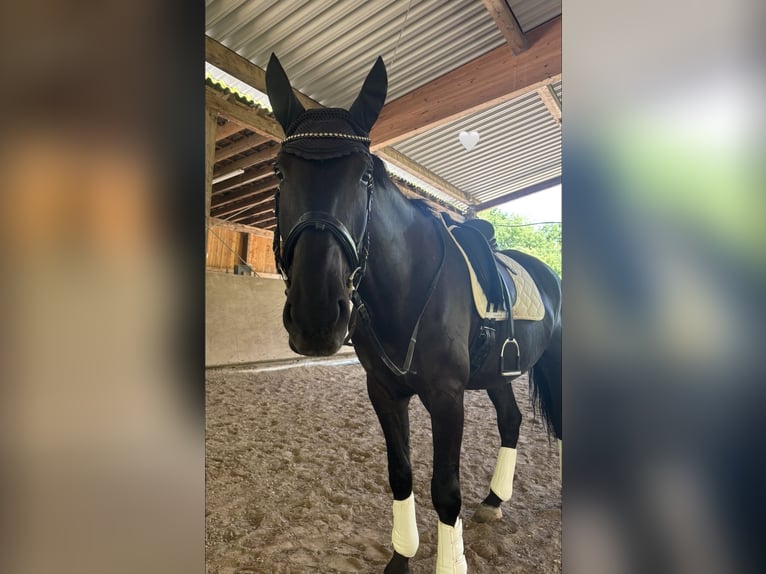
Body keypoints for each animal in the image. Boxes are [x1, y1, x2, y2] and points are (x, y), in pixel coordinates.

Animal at [265, 53, 562, 574]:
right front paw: (400, 557)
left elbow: (445, 491)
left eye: (364, 176)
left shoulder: (447, 397)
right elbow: (401, 473)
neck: (407, 288)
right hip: (498, 374)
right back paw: (494, 501)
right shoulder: (384, 392)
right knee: (511, 421)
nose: (316, 318)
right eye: (280, 172)